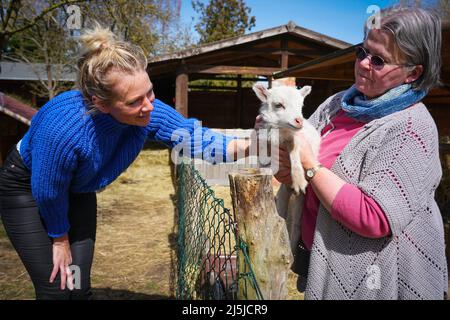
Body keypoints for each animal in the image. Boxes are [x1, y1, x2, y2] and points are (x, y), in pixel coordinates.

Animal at [251, 84, 322, 252]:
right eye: (279, 105)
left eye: (301, 105)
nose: (299, 121)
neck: (280, 132)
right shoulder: (264, 141)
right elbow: (263, 162)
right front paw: (263, 173)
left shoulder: (295, 140)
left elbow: (295, 153)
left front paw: (299, 180)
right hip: (283, 195)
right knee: (281, 217)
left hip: (299, 203)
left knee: (295, 227)